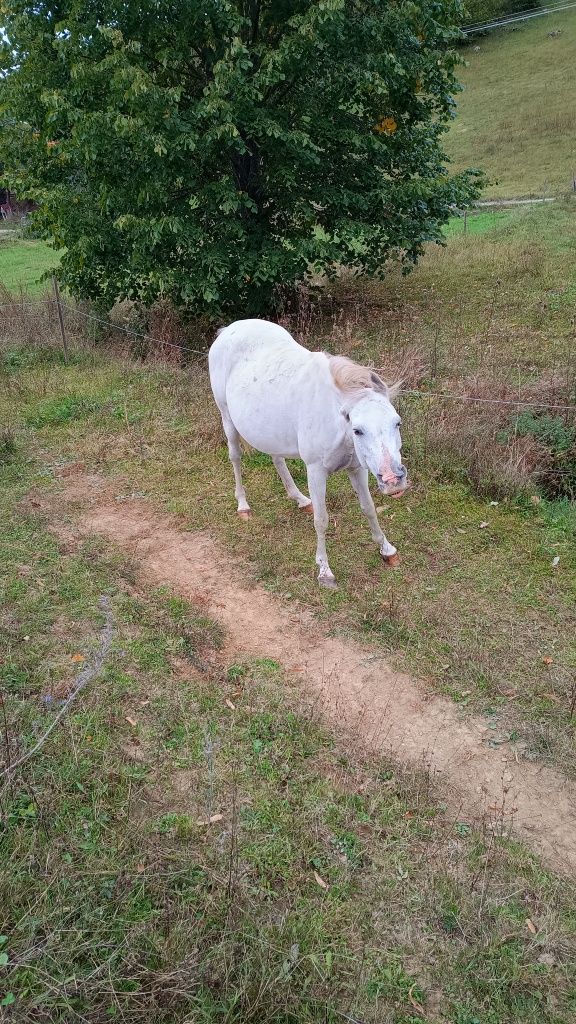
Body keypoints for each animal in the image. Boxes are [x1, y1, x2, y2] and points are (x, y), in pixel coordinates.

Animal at [208, 319, 405, 593]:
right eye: (358, 430)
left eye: (397, 423)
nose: (393, 481)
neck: (337, 418)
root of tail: (227, 330)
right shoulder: (316, 470)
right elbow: (322, 520)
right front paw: (324, 570)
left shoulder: (357, 468)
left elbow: (369, 508)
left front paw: (387, 550)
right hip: (227, 418)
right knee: (235, 457)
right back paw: (243, 506)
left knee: (277, 458)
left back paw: (300, 499)